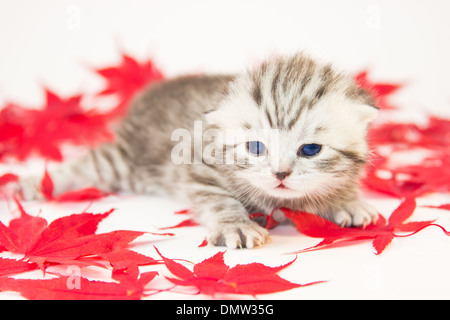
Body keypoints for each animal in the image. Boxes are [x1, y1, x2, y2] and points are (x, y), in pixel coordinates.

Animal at [21, 52, 380, 249]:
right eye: (255, 147)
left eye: (310, 149)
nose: (280, 173)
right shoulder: (199, 167)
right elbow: (219, 198)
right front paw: (236, 225)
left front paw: (347, 202)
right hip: (124, 162)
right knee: (85, 167)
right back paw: (32, 184)